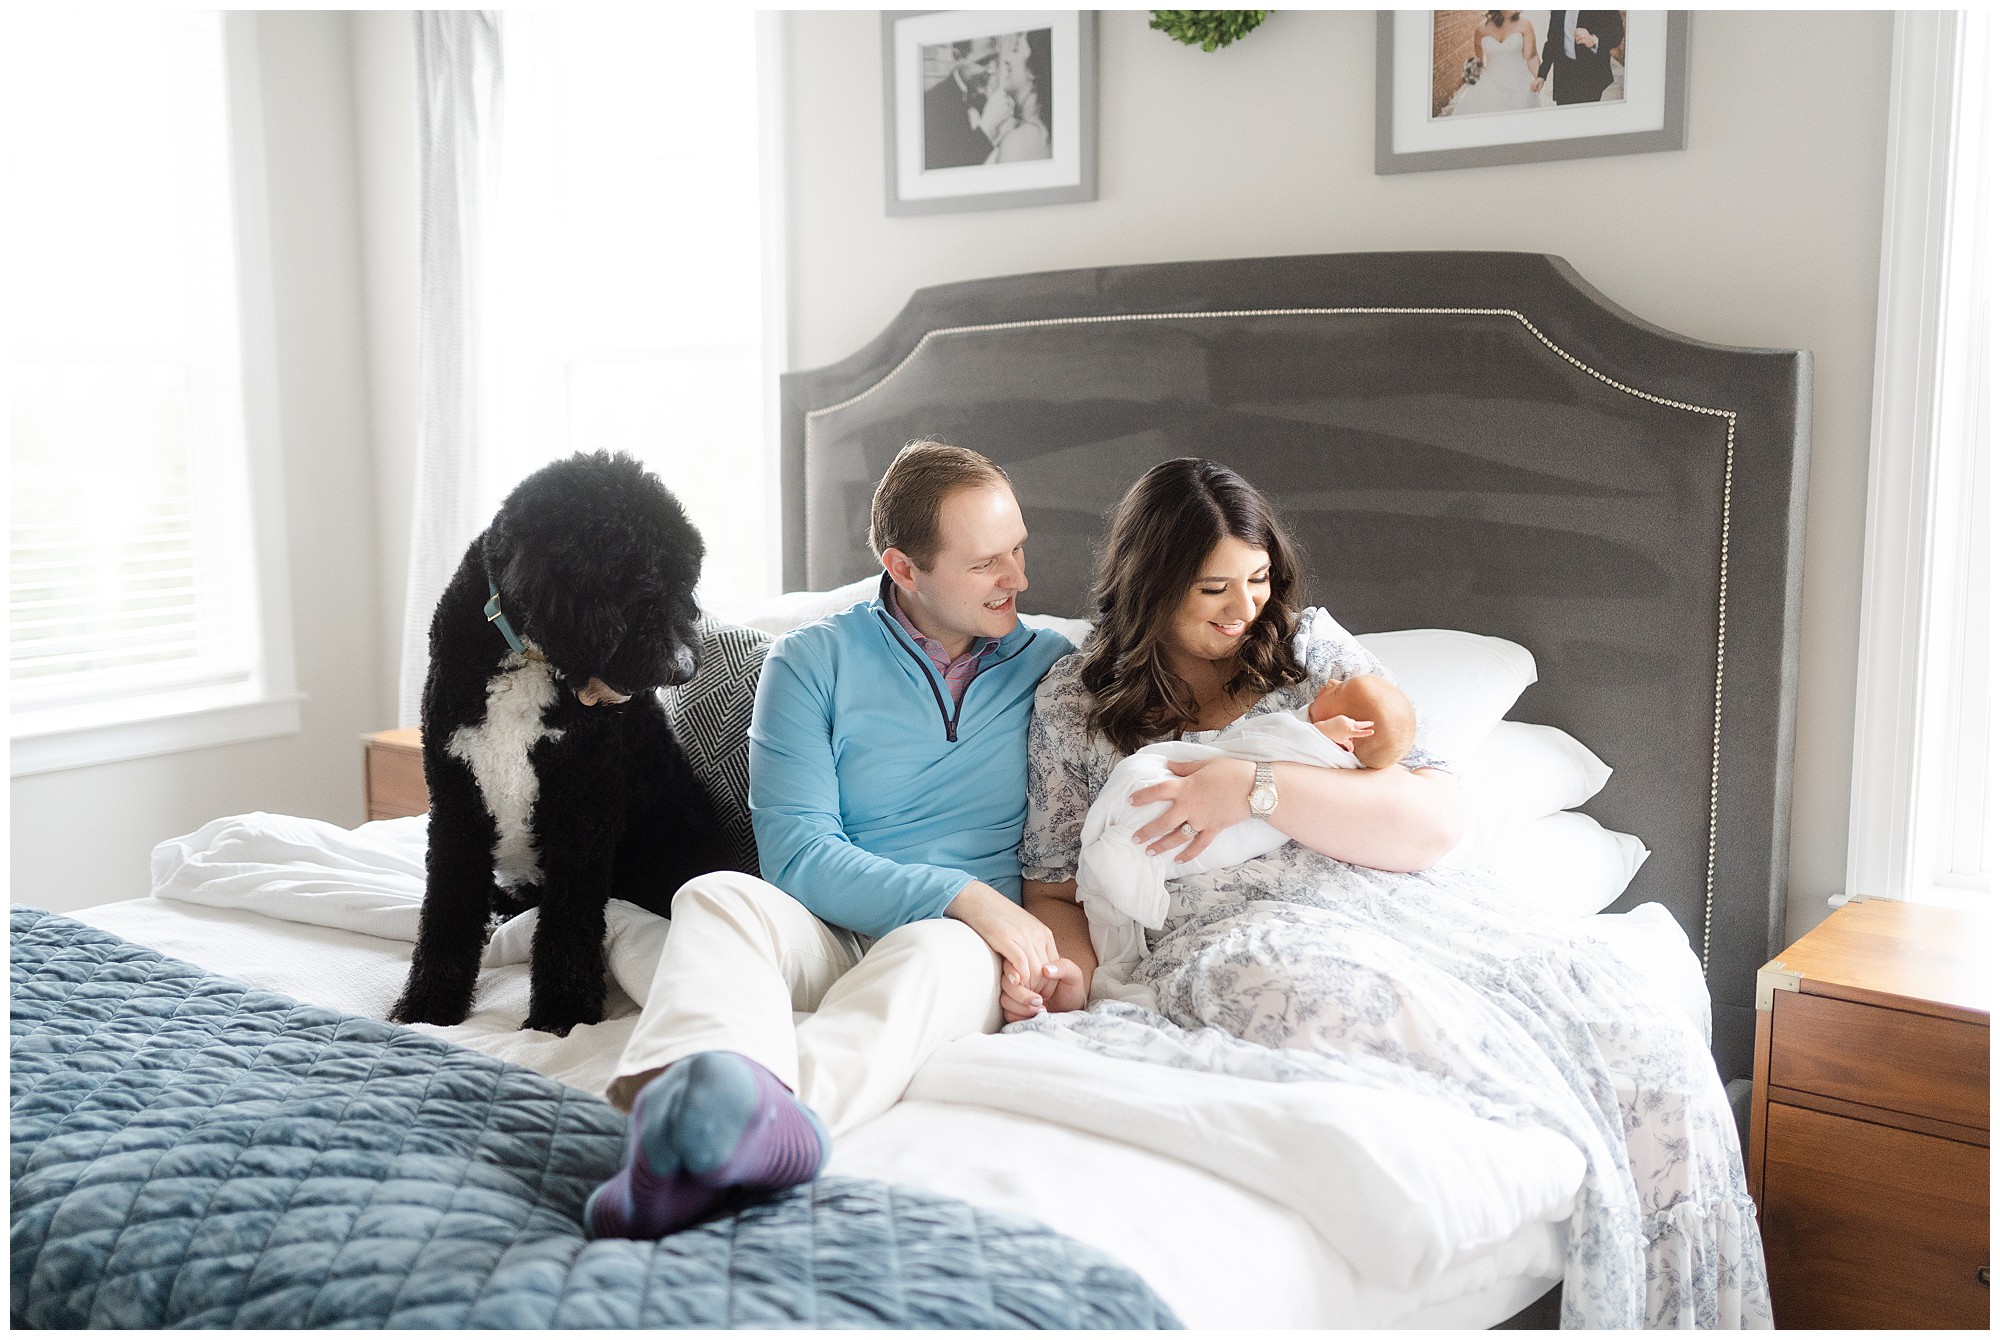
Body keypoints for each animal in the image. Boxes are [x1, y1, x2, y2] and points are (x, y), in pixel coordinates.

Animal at [390, 452, 736, 1040]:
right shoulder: (457, 800)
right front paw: (429, 1005)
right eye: (643, 590)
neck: (527, 655)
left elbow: (568, 922)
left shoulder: (584, 807)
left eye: (683, 587)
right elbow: (446, 911)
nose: (683, 668)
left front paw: (563, 1013)